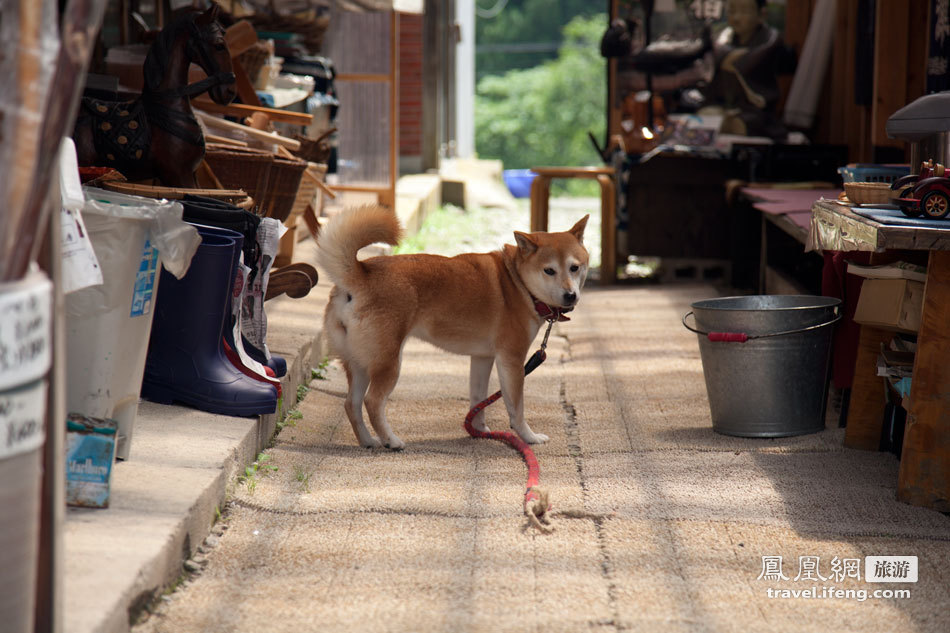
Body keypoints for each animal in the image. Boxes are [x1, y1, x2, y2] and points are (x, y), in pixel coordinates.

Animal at [320, 205, 588, 446]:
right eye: (549, 270)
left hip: (359, 362)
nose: (570, 296)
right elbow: (516, 407)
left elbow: (478, 399)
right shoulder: (511, 358)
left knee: (351, 404)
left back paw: (368, 441)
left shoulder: (482, 357)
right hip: (388, 362)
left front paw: (479, 430)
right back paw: (391, 441)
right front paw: (529, 437)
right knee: (372, 402)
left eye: (575, 267)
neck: (517, 282)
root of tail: (359, 275)